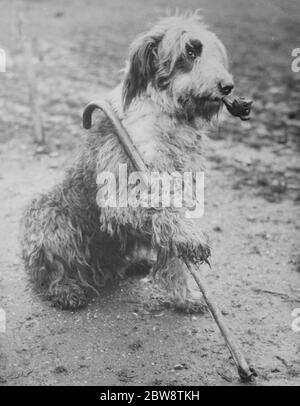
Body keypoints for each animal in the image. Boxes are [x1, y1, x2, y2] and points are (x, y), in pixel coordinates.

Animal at [20, 12, 234, 310]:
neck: (166, 116)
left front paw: (183, 297)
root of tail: (96, 273)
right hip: (49, 214)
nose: (228, 87)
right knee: (49, 272)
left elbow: (174, 256)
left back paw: (135, 264)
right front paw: (192, 238)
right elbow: (162, 210)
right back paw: (66, 290)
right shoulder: (121, 194)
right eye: (190, 51)